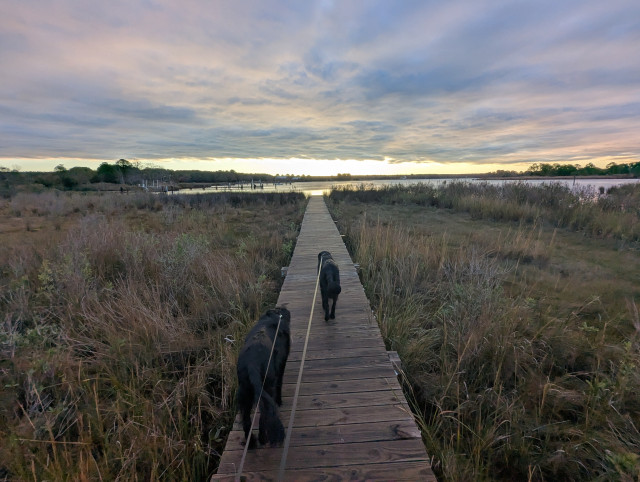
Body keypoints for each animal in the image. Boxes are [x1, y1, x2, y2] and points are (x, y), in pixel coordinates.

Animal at [236, 306, 292, 446]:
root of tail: (251, 364)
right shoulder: (282, 364)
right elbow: (280, 384)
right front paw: (280, 401)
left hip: (244, 393)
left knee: (247, 421)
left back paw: (251, 443)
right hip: (267, 387)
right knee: (264, 417)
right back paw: (263, 439)